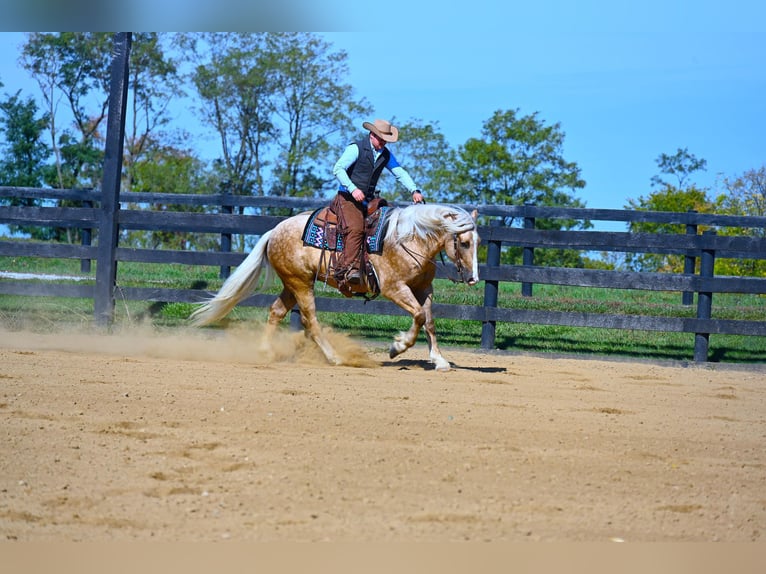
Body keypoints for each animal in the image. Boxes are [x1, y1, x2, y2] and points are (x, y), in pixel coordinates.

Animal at [192, 205, 480, 372]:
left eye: (477, 241)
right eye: (464, 242)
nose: (474, 278)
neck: (409, 239)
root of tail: (274, 231)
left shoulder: (423, 288)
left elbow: (429, 321)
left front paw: (439, 360)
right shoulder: (394, 288)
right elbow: (419, 316)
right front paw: (397, 347)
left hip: (293, 283)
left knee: (276, 311)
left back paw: (266, 352)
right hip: (300, 283)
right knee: (311, 320)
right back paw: (335, 358)